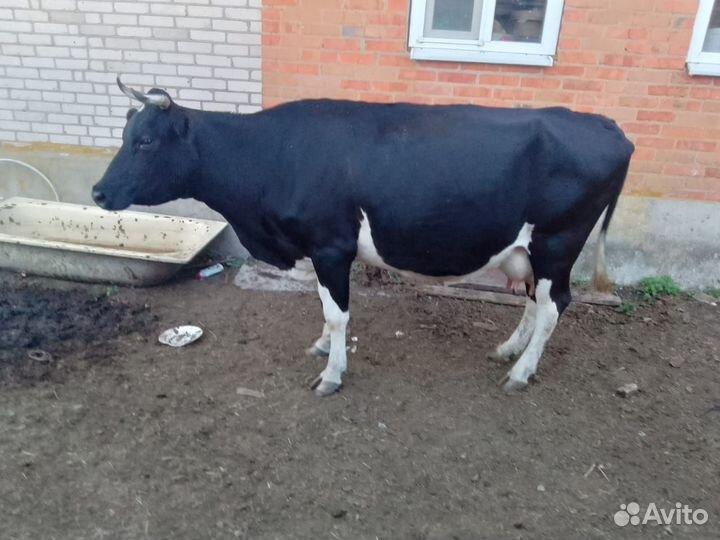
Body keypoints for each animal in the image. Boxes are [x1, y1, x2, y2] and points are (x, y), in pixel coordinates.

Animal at [93, 77, 634, 396]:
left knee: (554, 305)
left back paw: (521, 372)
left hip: (558, 241)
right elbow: (325, 309)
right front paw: (320, 347)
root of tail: (607, 125)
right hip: (529, 250)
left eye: (146, 140)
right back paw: (507, 351)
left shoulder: (331, 245)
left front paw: (332, 373)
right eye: (125, 135)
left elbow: (337, 313)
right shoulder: (319, 249)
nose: (98, 192)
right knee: (533, 303)